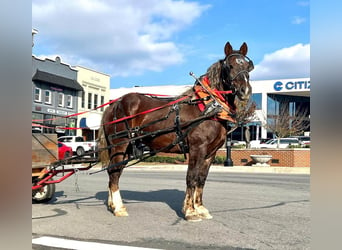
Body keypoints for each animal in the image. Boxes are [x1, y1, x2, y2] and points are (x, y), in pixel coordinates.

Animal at [99, 42, 254, 222]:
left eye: (248, 67)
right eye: (230, 66)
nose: (245, 91)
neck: (208, 106)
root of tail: (114, 104)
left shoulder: (210, 153)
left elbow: (201, 179)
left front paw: (200, 208)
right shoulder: (197, 148)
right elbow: (191, 178)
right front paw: (190, 211)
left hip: (127, 148)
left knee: (115, 171)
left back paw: (113, 204)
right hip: (120, 144)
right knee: (114, 172)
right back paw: (118, 208)